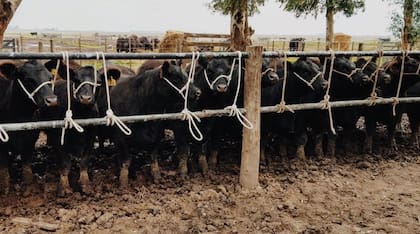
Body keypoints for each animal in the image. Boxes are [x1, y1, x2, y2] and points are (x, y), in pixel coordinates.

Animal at [0, 60, 57, 196]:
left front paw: (28, 188)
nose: (52, 100)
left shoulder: (31, 140)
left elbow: (26, 165)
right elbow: (3, 166)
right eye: (29, 80)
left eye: (50, 78)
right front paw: (5, 188)